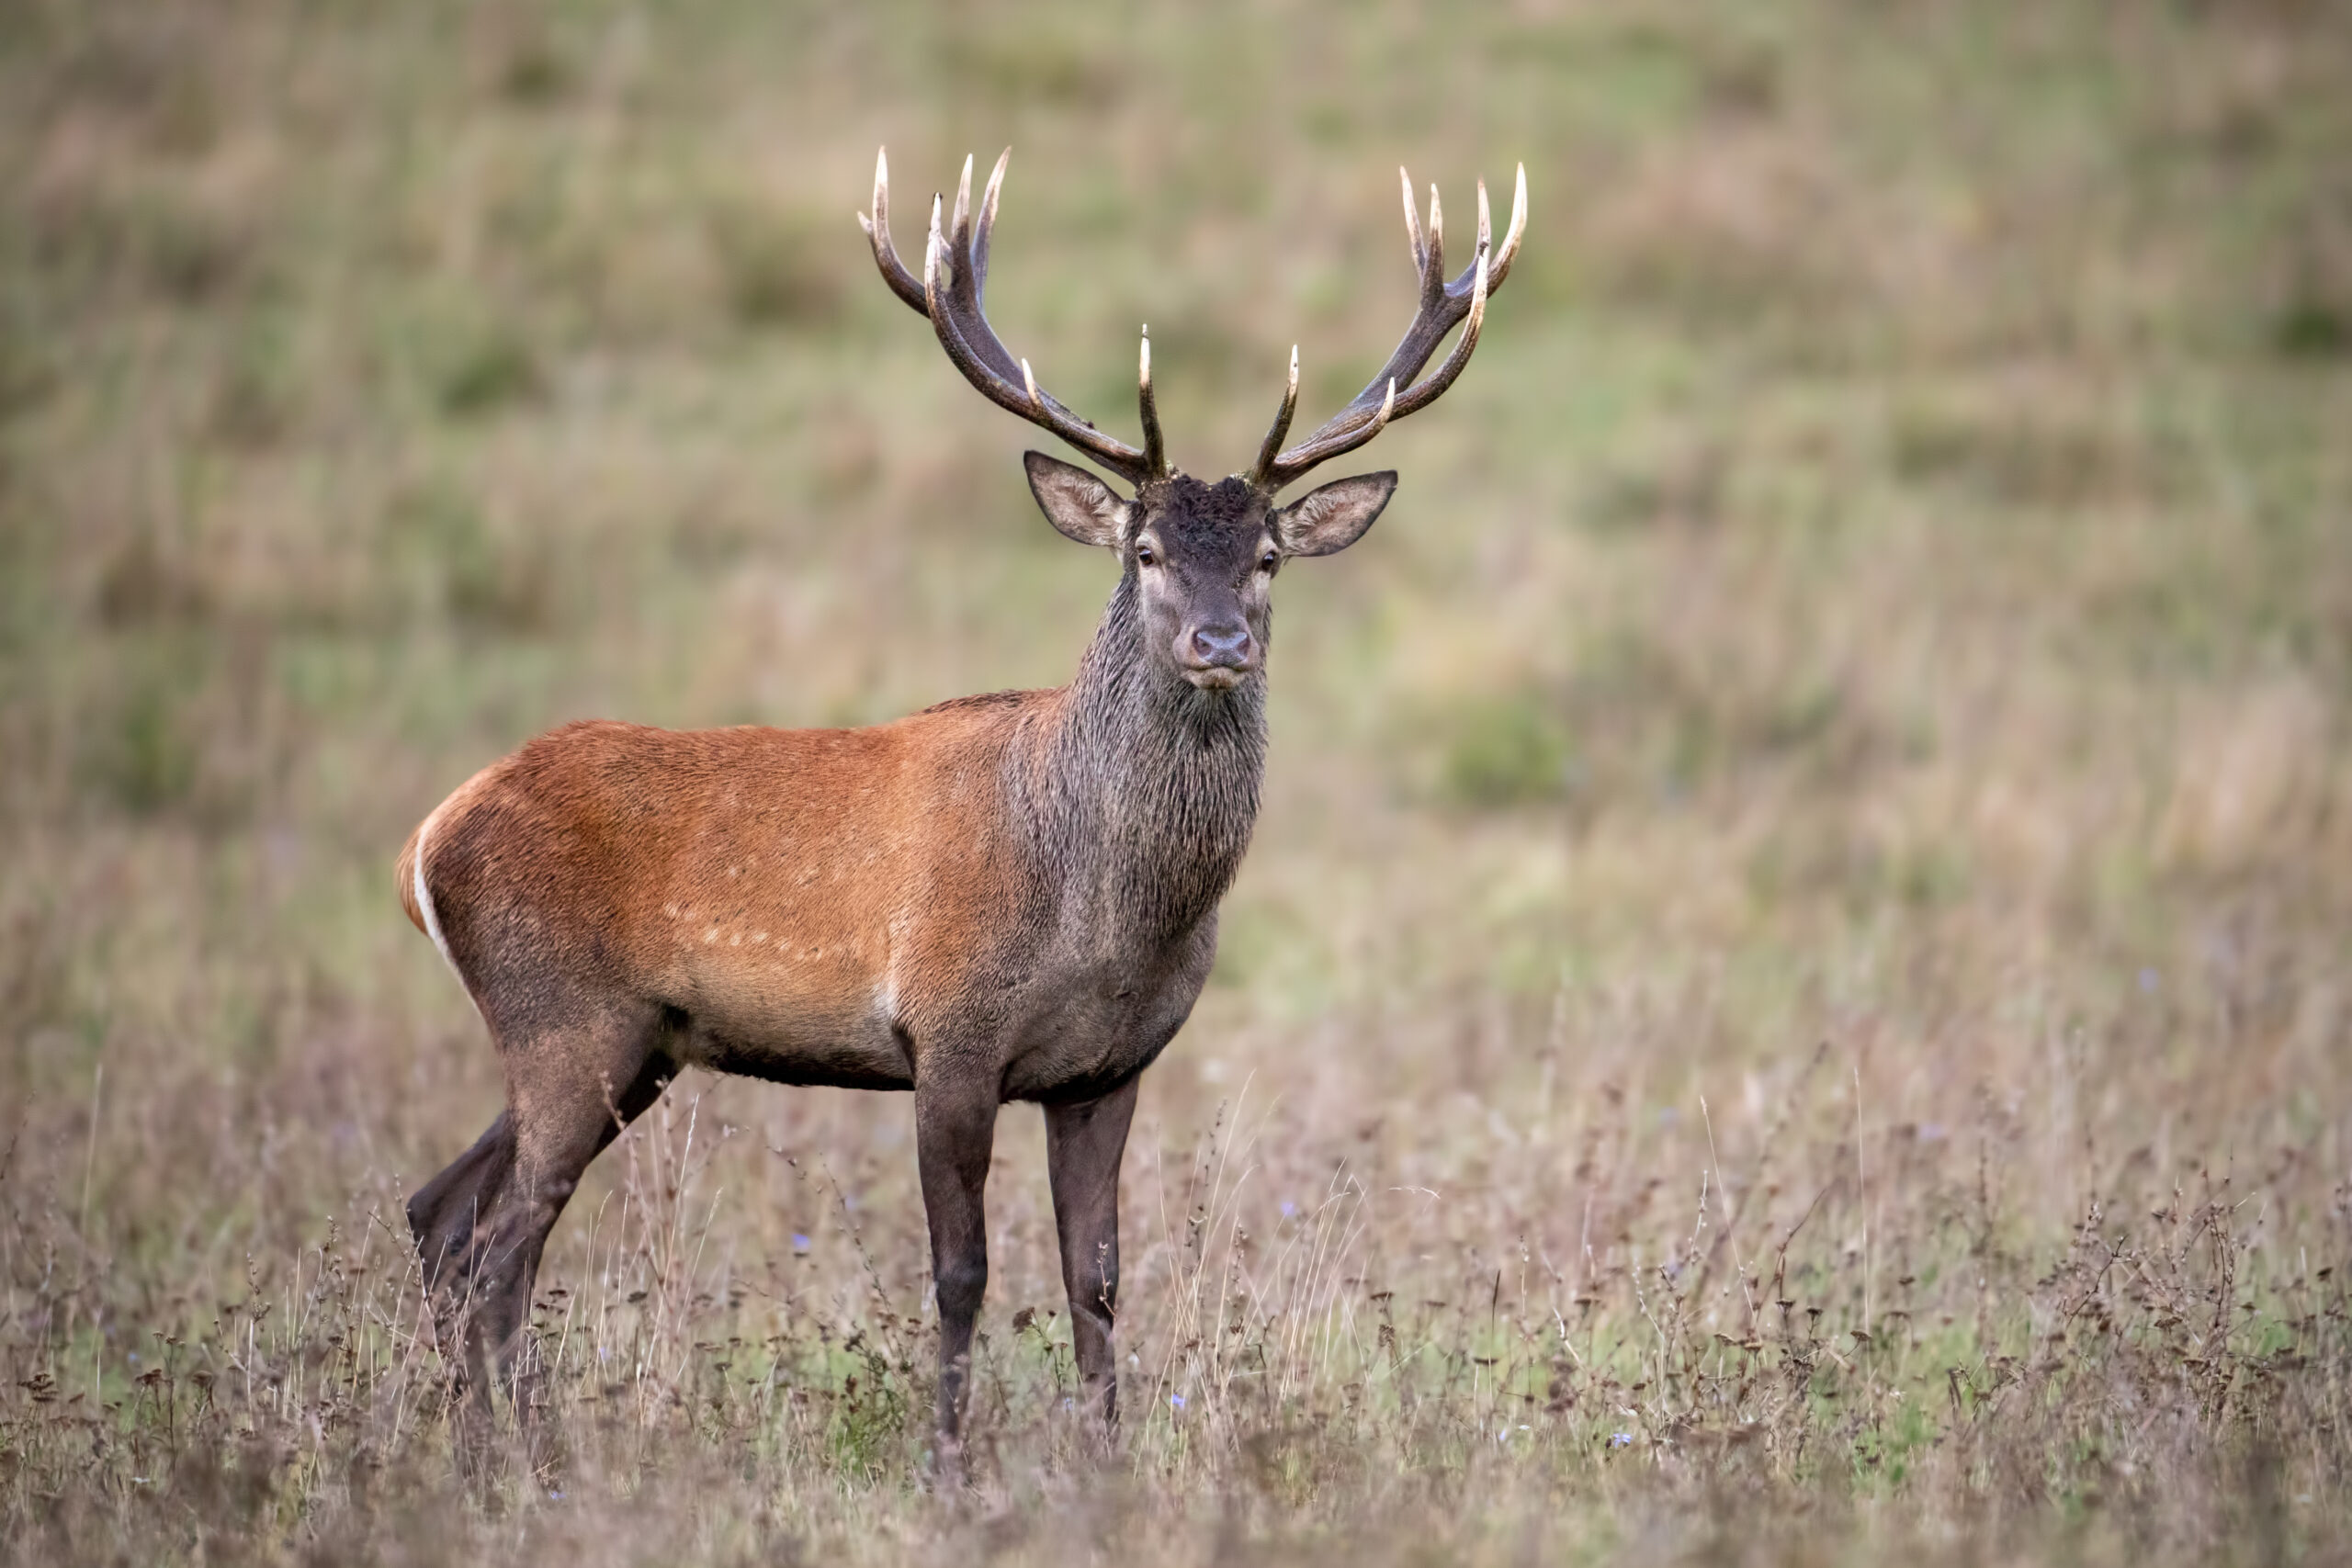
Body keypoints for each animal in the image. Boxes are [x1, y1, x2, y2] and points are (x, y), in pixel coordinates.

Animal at [397, 146, 1524, 1475]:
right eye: (1145, 550)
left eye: (1267, 557)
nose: (1220, 643)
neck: (1109, 915)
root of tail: (428, 839)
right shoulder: (948, 1033)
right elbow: (961, 1272)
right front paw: (946, 1464)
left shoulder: (1107, 1066)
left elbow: (1096, 1277)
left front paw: (1107, 1462)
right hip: (564, 1017)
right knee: (498, 1246)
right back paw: (522, 1458)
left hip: (630, 1043)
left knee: (442, 1211)